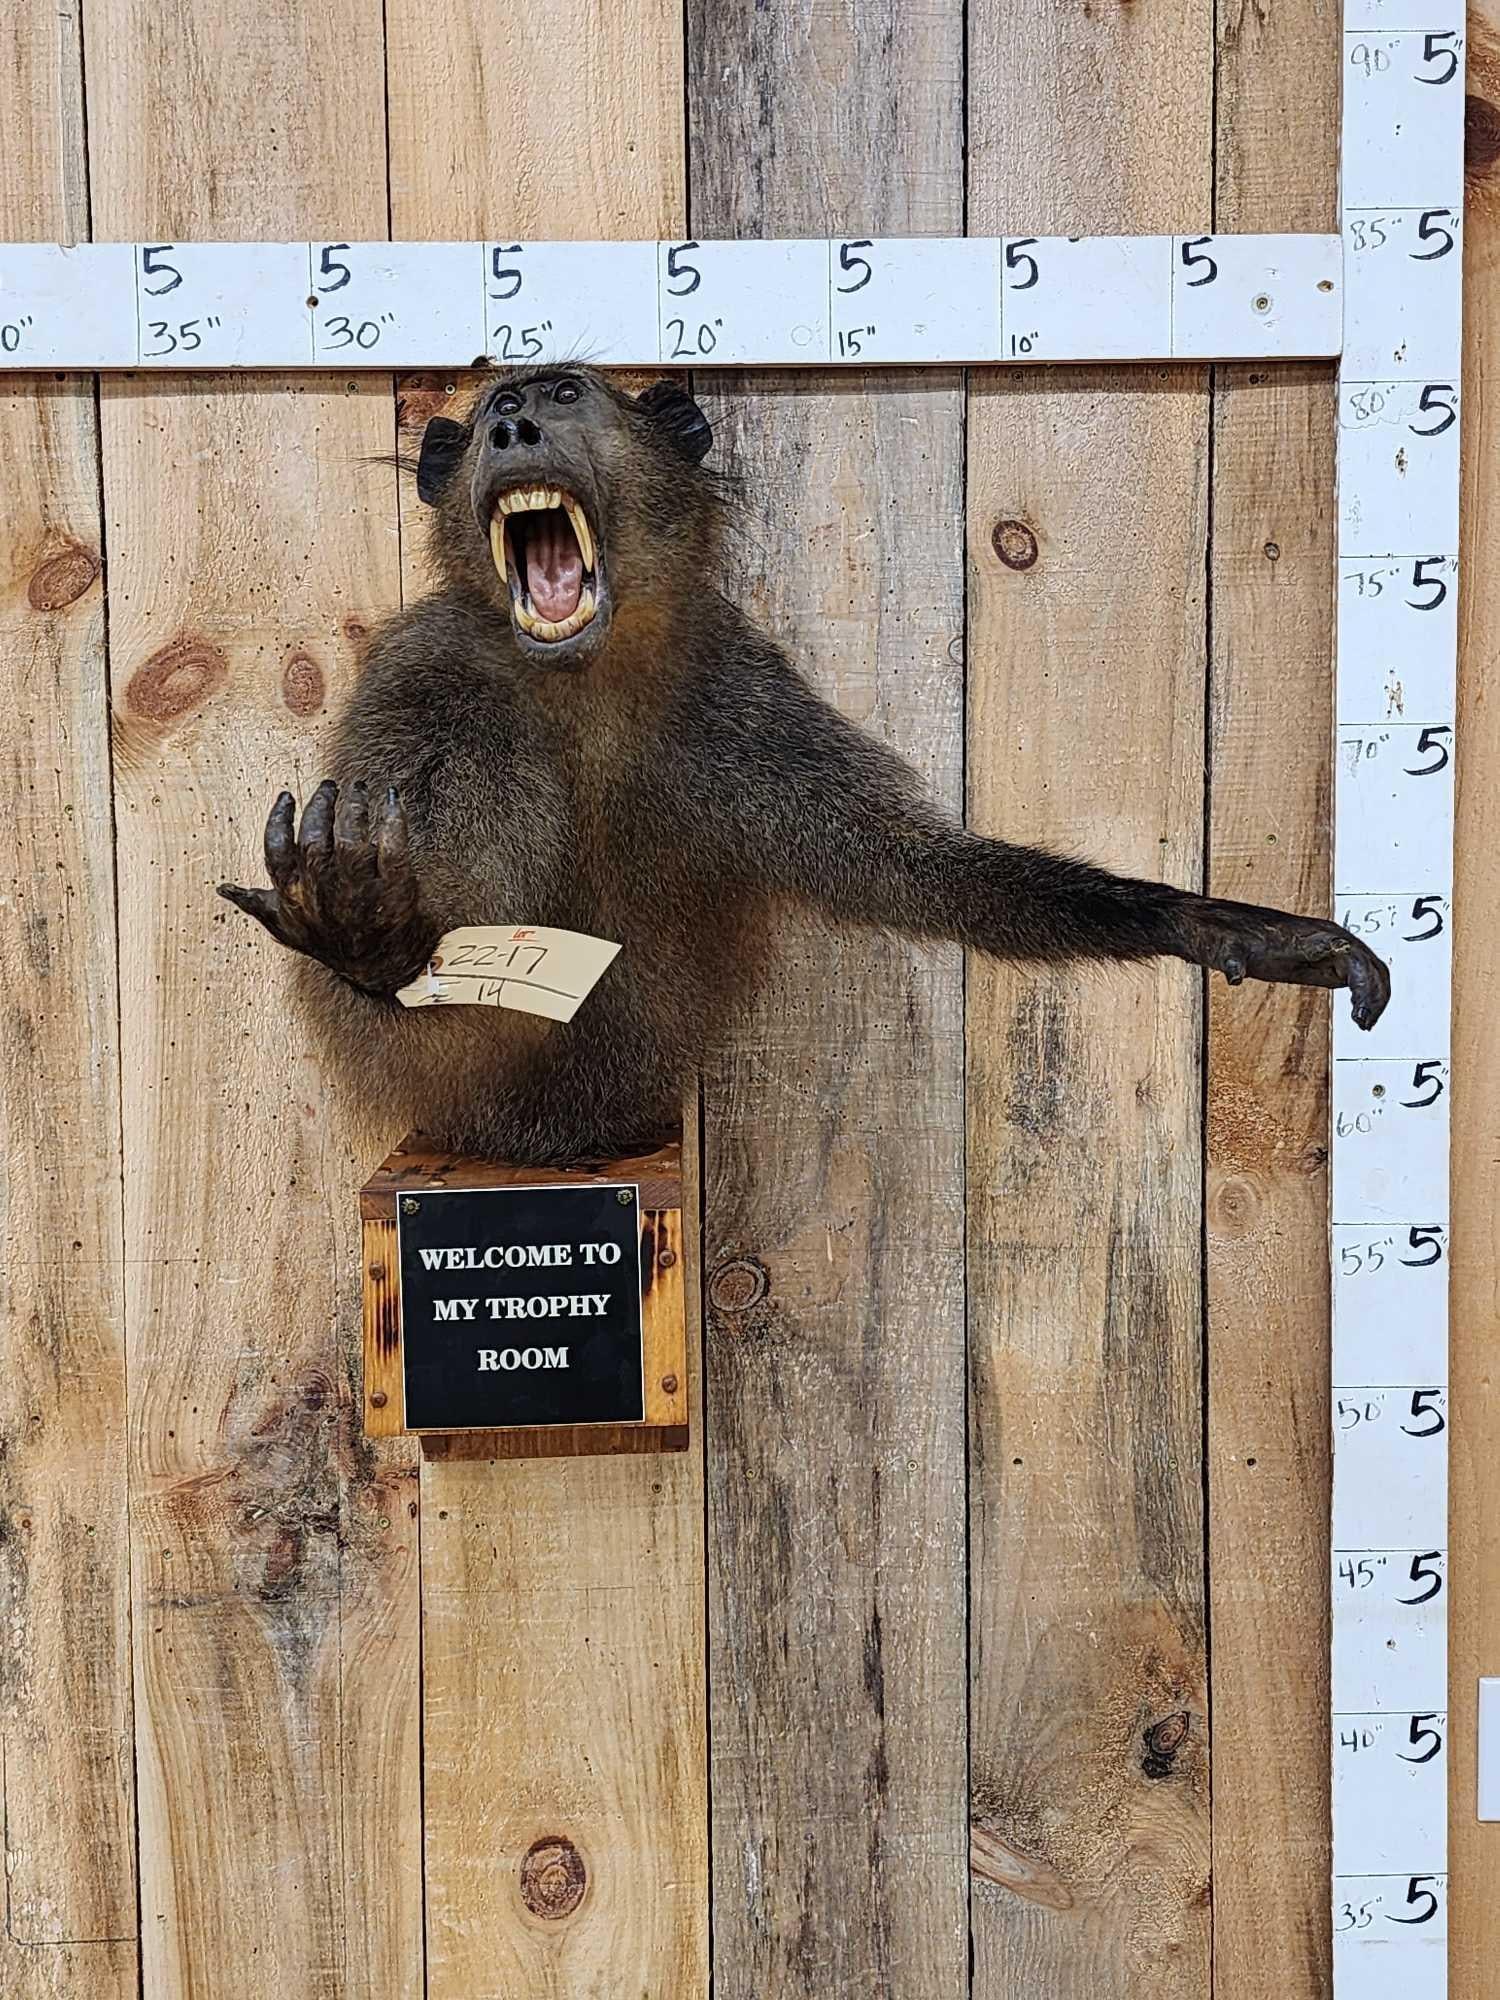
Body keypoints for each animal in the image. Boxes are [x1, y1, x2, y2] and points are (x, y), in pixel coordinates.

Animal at [219, 365, 1390, 1166]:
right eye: (502, 404)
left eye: (562, 393)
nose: (511, 424)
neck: (581, 678)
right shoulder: (425, 679)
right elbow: (437, 935)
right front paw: (368, 933)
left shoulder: (743, 693)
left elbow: (912, 870)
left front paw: (1211, 923)